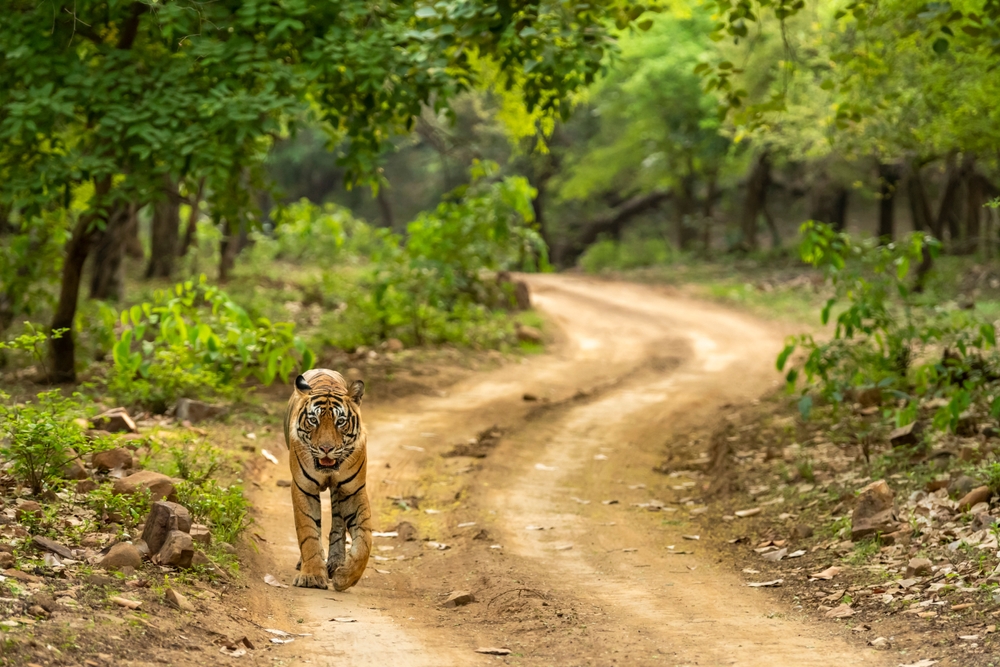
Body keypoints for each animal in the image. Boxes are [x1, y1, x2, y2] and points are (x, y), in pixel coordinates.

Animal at [283, 368, 371, 591]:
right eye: (313, 420)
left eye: (340, 422)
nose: (326, 448)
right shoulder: (303, 488)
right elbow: (308, 532)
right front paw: (312, 576)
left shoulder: (354, 490)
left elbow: (365, 539)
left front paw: (345, 577)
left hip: (339, 493)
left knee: (338, 523)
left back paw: (336, 562)